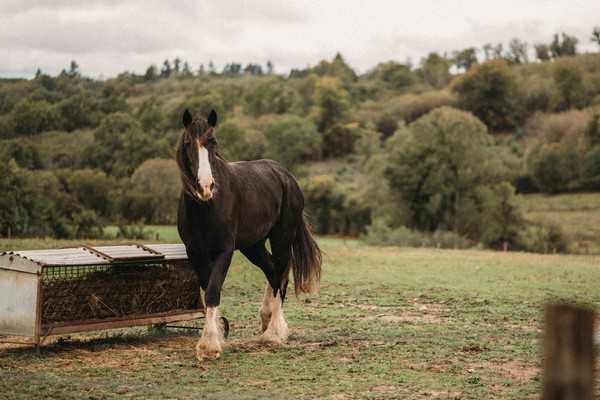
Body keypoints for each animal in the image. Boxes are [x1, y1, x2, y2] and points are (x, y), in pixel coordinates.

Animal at [176, 108, 322, 360]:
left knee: (281, 272)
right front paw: (216, 334)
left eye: (213, 142)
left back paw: (274, 332)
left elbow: (213, 291)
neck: (206, 207)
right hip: (252, 245)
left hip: (282, 237)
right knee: (272, 270)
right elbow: (208, 288)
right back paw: (267, 319)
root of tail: (285, 176)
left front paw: (209, 346)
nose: (206, 186)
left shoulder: (224, 251)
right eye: (187, 143)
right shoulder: (194, 252)